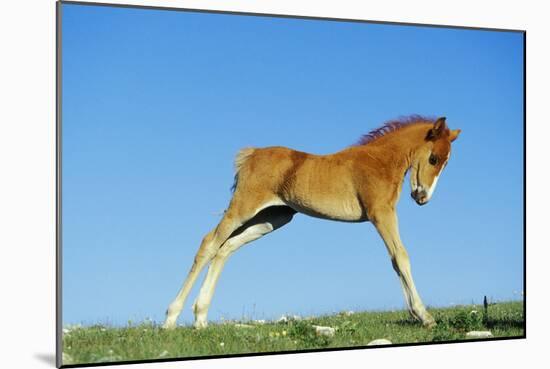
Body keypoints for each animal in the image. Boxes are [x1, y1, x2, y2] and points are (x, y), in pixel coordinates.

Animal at [163, 115, 462, 328]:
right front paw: (425, 316)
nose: (422, 197)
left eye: (446, 163)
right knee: (209, 243)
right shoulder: (381, 214)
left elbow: (395, 260)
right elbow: (400, 257)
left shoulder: (384, 215)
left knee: (225, 248)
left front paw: (416, 314)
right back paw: (171, 318)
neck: (379, 161)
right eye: (434, 158)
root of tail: (252, 154)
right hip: (244, 208)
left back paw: (201, 318)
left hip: (272, 218)